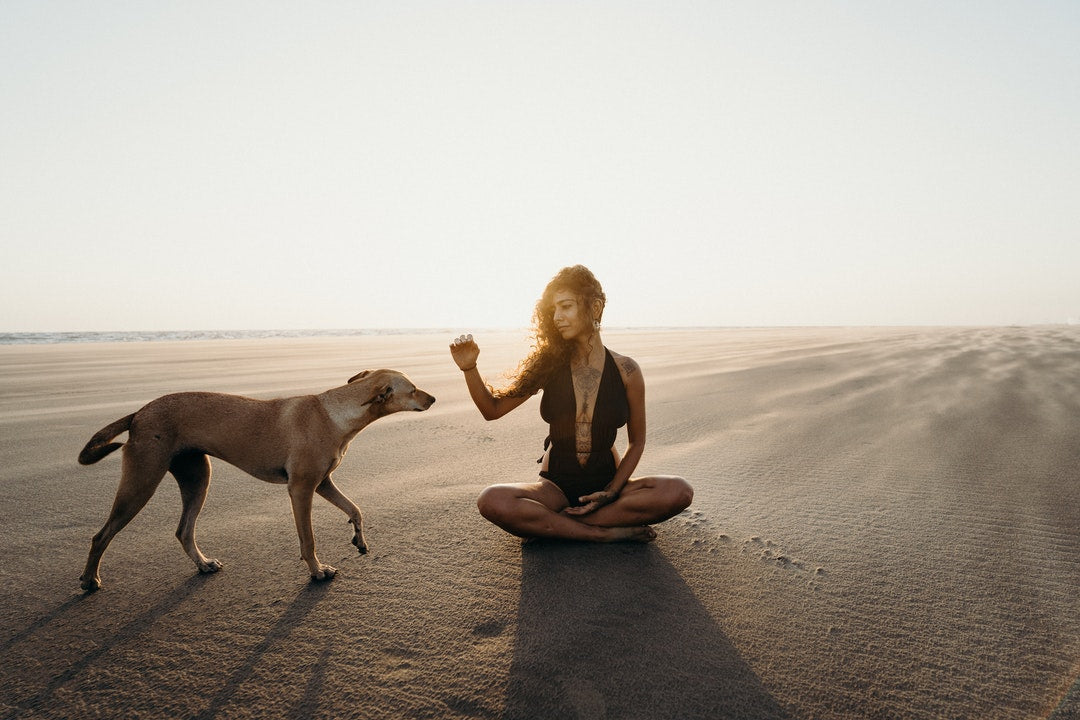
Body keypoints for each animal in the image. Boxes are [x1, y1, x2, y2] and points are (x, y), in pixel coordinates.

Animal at [76, 369, 434, 595]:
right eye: (413, 388)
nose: (433, 399)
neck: (334, 413)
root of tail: (138, 413)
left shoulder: (323, 483)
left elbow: (355, 509)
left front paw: (359, 538)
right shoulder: (301, 489)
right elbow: (308, 540)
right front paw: (317, 571)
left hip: (197, 477)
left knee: (184, 530)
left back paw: (203, 564)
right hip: (141, 481)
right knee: (100, 536)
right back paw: (90, 580)